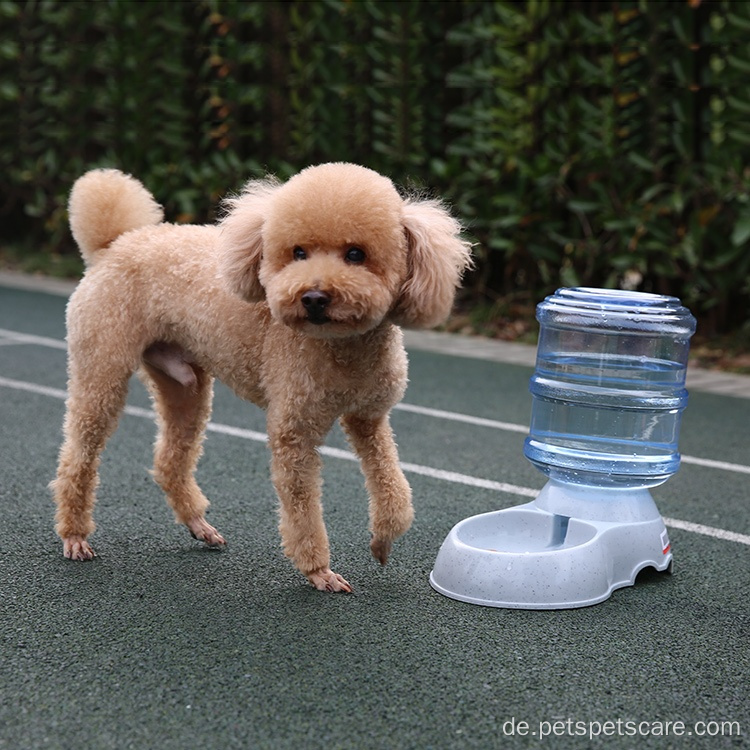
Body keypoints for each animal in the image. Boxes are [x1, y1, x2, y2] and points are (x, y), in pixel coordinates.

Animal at [53, 164, 472, 592]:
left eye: (356, 254)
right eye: (298, 252)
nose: (313, 297)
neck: (343, 347)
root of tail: (114, 244)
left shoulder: (368, 418)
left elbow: (393, 486)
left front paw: (383, 541)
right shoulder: (294, 431)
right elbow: (302, 506)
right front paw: (318, 570)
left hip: (184, 384)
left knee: (170, 459)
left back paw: (198, 525)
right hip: (102, 368)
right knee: (78, 455)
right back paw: (75, 534)